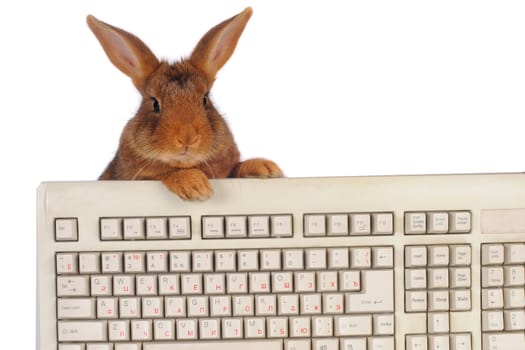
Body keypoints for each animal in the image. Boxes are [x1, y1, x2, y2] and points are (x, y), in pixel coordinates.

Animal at [87, 6, 282, 200]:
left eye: (205, 100)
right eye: (155, 104)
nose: (187, 137)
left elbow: (236, 168)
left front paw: (266, 168)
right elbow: (166, 173)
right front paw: (195, 185)